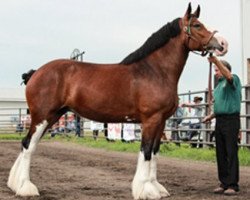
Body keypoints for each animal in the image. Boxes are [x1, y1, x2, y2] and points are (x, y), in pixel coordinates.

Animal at [7, 3, 225, 200]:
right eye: (197, 25)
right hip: (42, 116)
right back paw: (26, 188)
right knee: (28, 145)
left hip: (52, 116)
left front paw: (156, 188)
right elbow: (146, 151)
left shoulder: (161, 121)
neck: (155, 71)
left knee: (28, 144)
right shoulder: (151, 120)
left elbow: (154, 153)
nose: (221, 44)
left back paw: (16, 184)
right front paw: (145, 190)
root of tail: (36, 73)